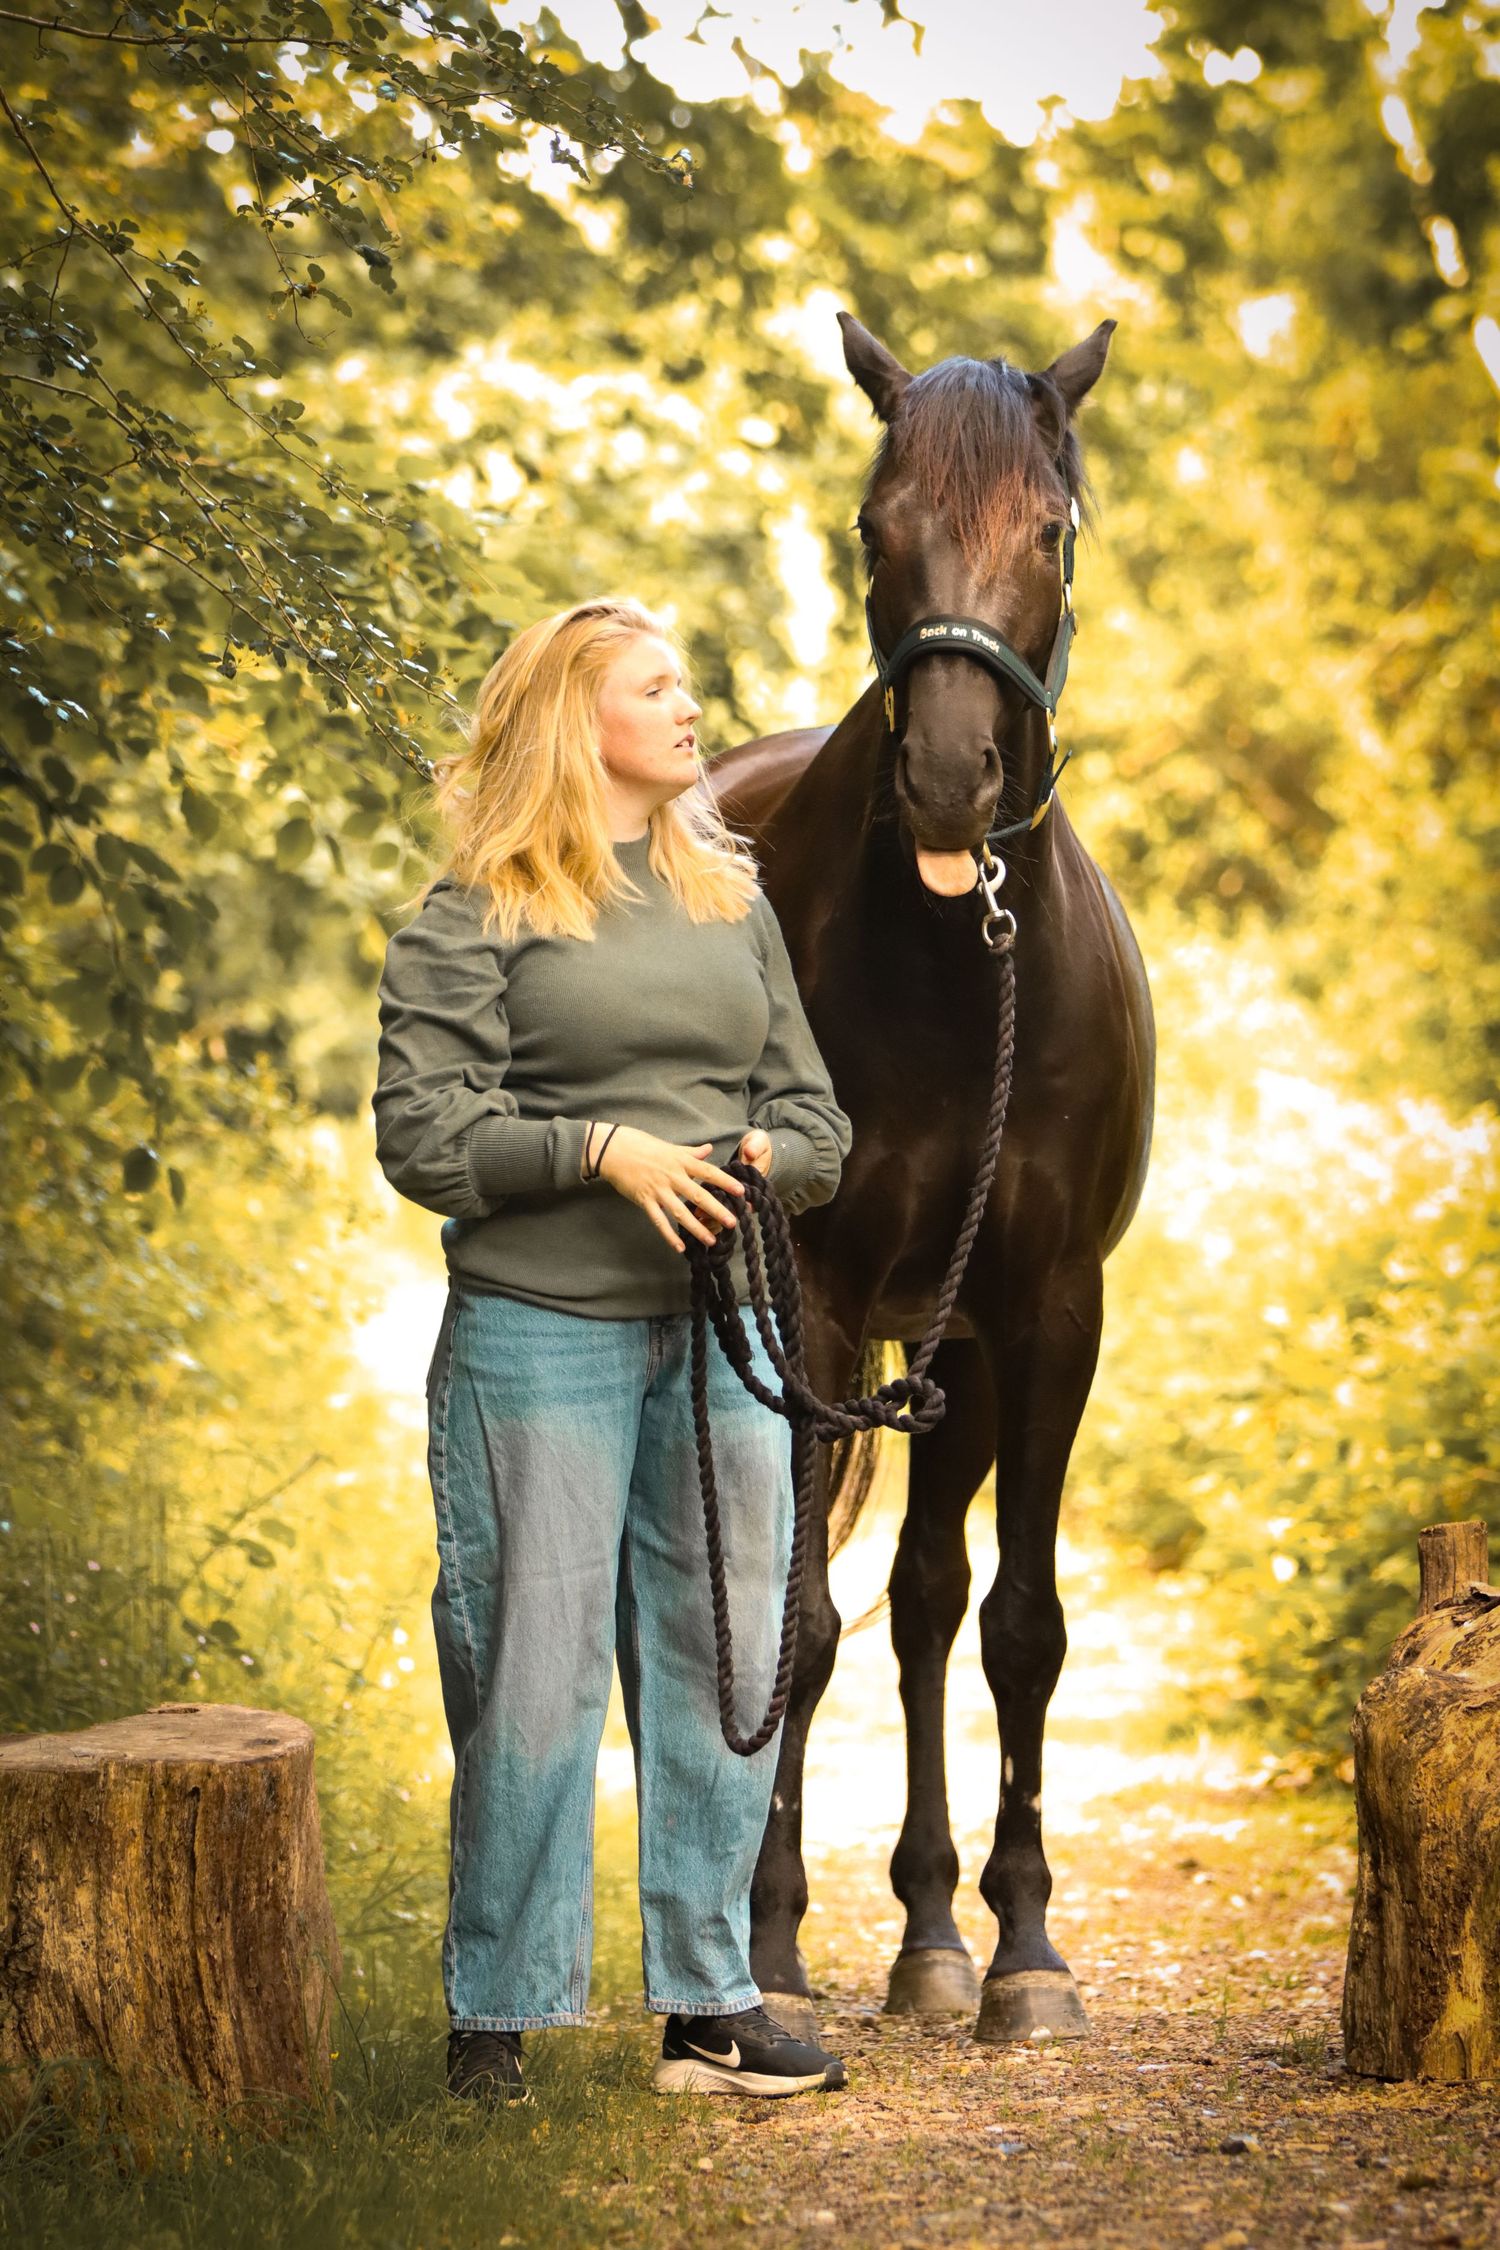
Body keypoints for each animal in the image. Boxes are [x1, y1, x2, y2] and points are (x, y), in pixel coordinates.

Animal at [704, 313, 1156, 2046]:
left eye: (1053, 530)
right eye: (870, 529)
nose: (956, 779)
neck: (965, 966)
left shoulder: (1041, 1313)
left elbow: (1015, 1625)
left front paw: (1018, 1947)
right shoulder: (817, 1301)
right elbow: (794, 1627)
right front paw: (765, 1944)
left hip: (948, 1348)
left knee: (923, 1600)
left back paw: (929, 1926)